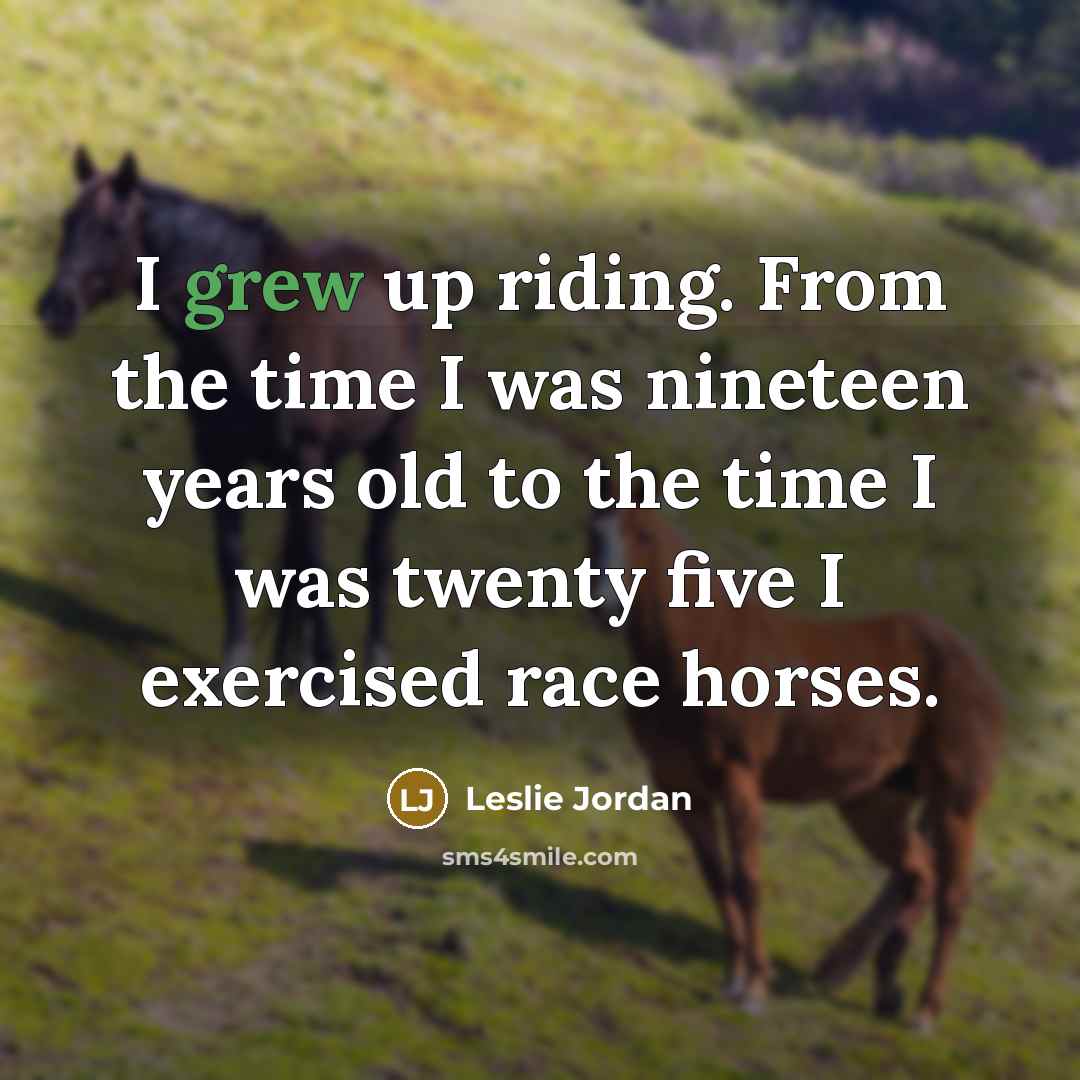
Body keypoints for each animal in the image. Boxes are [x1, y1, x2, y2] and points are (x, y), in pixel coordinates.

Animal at [37, 147, 423, 674]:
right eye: (67, 220)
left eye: (113, 228)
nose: (55, 307)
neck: (251, 329)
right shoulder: (219, 456)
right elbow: (232, 554)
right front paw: (239, 660)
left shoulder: (304, 456)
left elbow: (317, 560)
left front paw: (325, 671)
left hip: (388, 447)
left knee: (376, 550)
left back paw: (372, 660)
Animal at [588, 502, 1002, 1030]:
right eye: (592, 533)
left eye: (642, 534)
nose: (605, 607)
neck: (699, 650)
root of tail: (980, 671)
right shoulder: (680, 787)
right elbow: (717, 879)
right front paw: (733, 979)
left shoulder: (740, 777)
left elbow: (747, 879)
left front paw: (754, 989)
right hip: (874, 805)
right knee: (919, 874)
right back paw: (885, 989)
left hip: (956, 805)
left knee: (952, 897)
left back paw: (925, 1011)